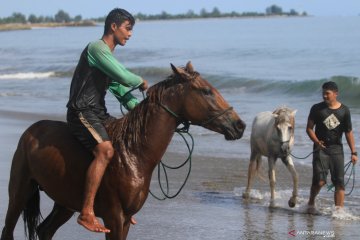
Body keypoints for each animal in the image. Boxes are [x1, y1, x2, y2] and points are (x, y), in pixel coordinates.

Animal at [0, 62, 245, 240]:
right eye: (206, 91)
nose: (239, 125)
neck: (134, 153)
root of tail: (31, 131)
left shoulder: (126, 219)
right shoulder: (114, 218)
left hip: (65, 203)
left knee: (44, 231)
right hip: (20, 192)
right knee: (8, 230)